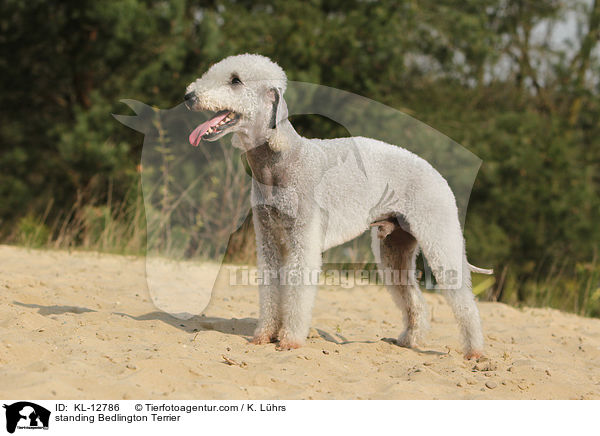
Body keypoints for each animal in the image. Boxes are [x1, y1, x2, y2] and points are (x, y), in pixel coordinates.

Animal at [186, 54, 492, 360]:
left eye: (235, 80)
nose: (189, 96)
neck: (280, 160)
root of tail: (437, 174)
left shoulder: (303, 239)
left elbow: (298, 291)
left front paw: (290, 340)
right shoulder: (269, 239)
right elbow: (270, 289)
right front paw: (264, 336)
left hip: (439, 234)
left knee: (465, 302)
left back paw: (475, 352)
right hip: (394, 247)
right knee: (412, 297)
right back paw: (408, 340)